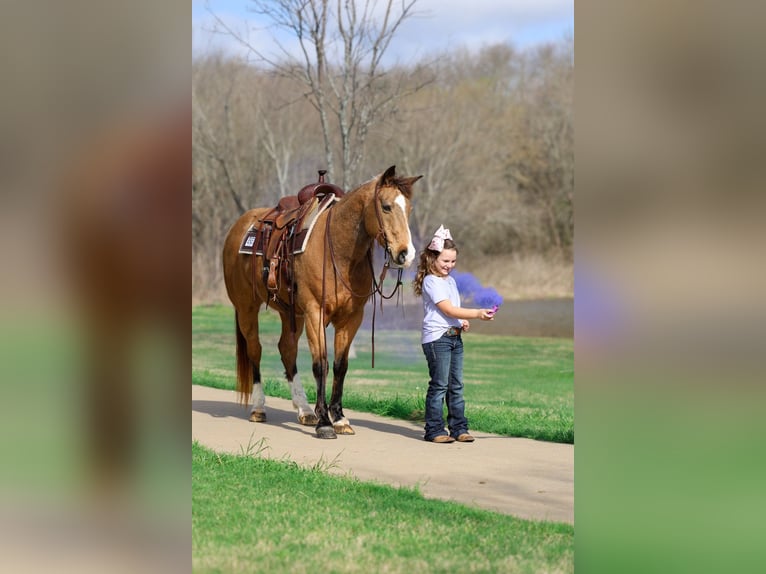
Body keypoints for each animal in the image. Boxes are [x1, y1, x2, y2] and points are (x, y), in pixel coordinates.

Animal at [222, 166, 421, 439]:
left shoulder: (350, 318)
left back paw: (304, 410)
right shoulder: (315, 313)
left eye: (409, 208)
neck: (338, 249)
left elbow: (340, 366)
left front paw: (339, 418)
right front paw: (325, 422)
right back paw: (259, 408)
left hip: (291, 313)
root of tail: (239, 226)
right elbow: (321, 365)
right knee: (256, 350)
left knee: (287, 350)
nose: (406, 254)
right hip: (247, 309)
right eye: (386, 206)